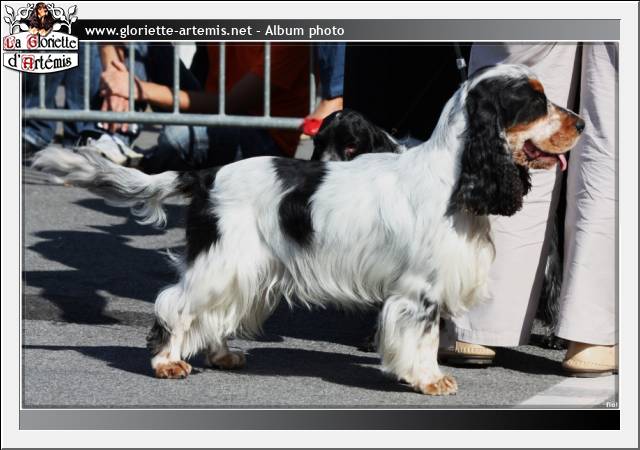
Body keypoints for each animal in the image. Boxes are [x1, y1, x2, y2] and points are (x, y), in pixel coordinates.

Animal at [32, 64, 583, 395]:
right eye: (536, 102)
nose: (580, 123)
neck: (456, 176)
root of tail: (206, 174)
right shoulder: (418, 290)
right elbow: (423, 337)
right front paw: (430, 379)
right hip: (223, 262)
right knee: (176, 304)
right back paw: (168, 361)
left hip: (243, 269)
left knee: (214, 314)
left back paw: (224, 355)